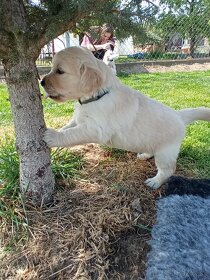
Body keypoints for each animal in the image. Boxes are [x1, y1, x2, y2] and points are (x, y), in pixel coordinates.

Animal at [40, 47, 210, 189]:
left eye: (60, 71)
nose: (41, 81)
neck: (98, 96)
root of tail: (179, 115)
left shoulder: (96, 130)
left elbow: (71, 134)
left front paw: (52, 137)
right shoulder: (78, 120)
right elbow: (67, 128)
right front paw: (57, 132)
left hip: (166, 152)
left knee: (168, 170)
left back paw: (155, 181)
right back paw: (145, 154)